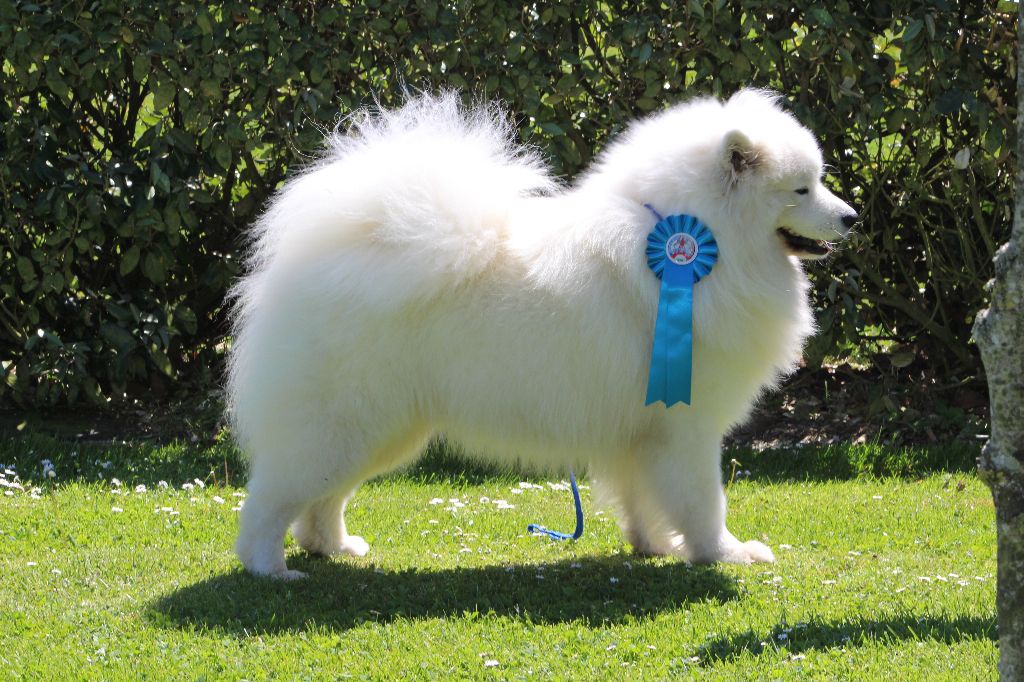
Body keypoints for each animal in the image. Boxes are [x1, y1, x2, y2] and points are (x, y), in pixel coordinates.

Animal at [226, 90, 856, 577]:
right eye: (802, 190)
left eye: (817, 182)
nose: (851, 218)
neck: (706, 243)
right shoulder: (686, 426)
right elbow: (703, 501)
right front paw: (725, 554)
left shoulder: (644, 430)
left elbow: (645, 499)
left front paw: (654, 546)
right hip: (342, 425)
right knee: (270, 500)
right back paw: (270, 568)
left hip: (381, 430)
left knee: (322, 499)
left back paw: (333, 547)